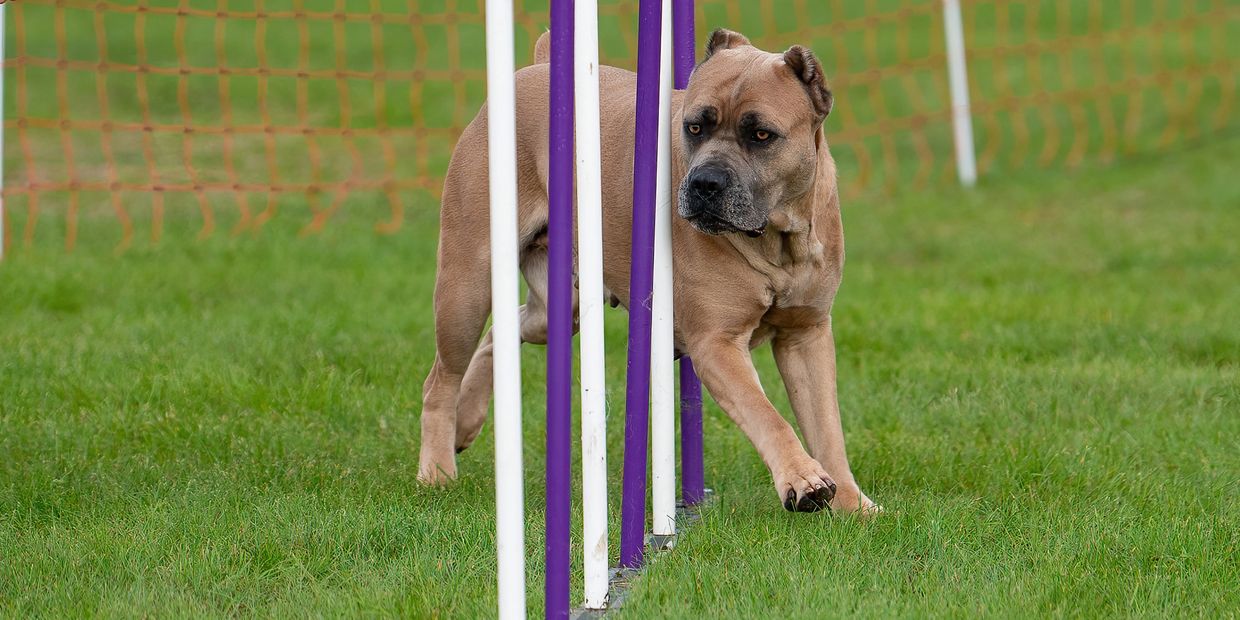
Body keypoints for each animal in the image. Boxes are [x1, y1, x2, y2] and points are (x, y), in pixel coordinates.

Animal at [421, 29, 877, 513]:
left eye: (760, 135)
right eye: (694, 127)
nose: (705, 184)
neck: (776, 239)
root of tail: (536, 67)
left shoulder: (806, 335)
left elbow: (827, 427)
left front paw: (853, 504)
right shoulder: (716, 344)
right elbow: (767, 415)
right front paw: (803, 479)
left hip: (562, 309)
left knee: (503, 331)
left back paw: (466, 420)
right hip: (466, 286)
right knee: (441, 379)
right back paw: (436, 470)